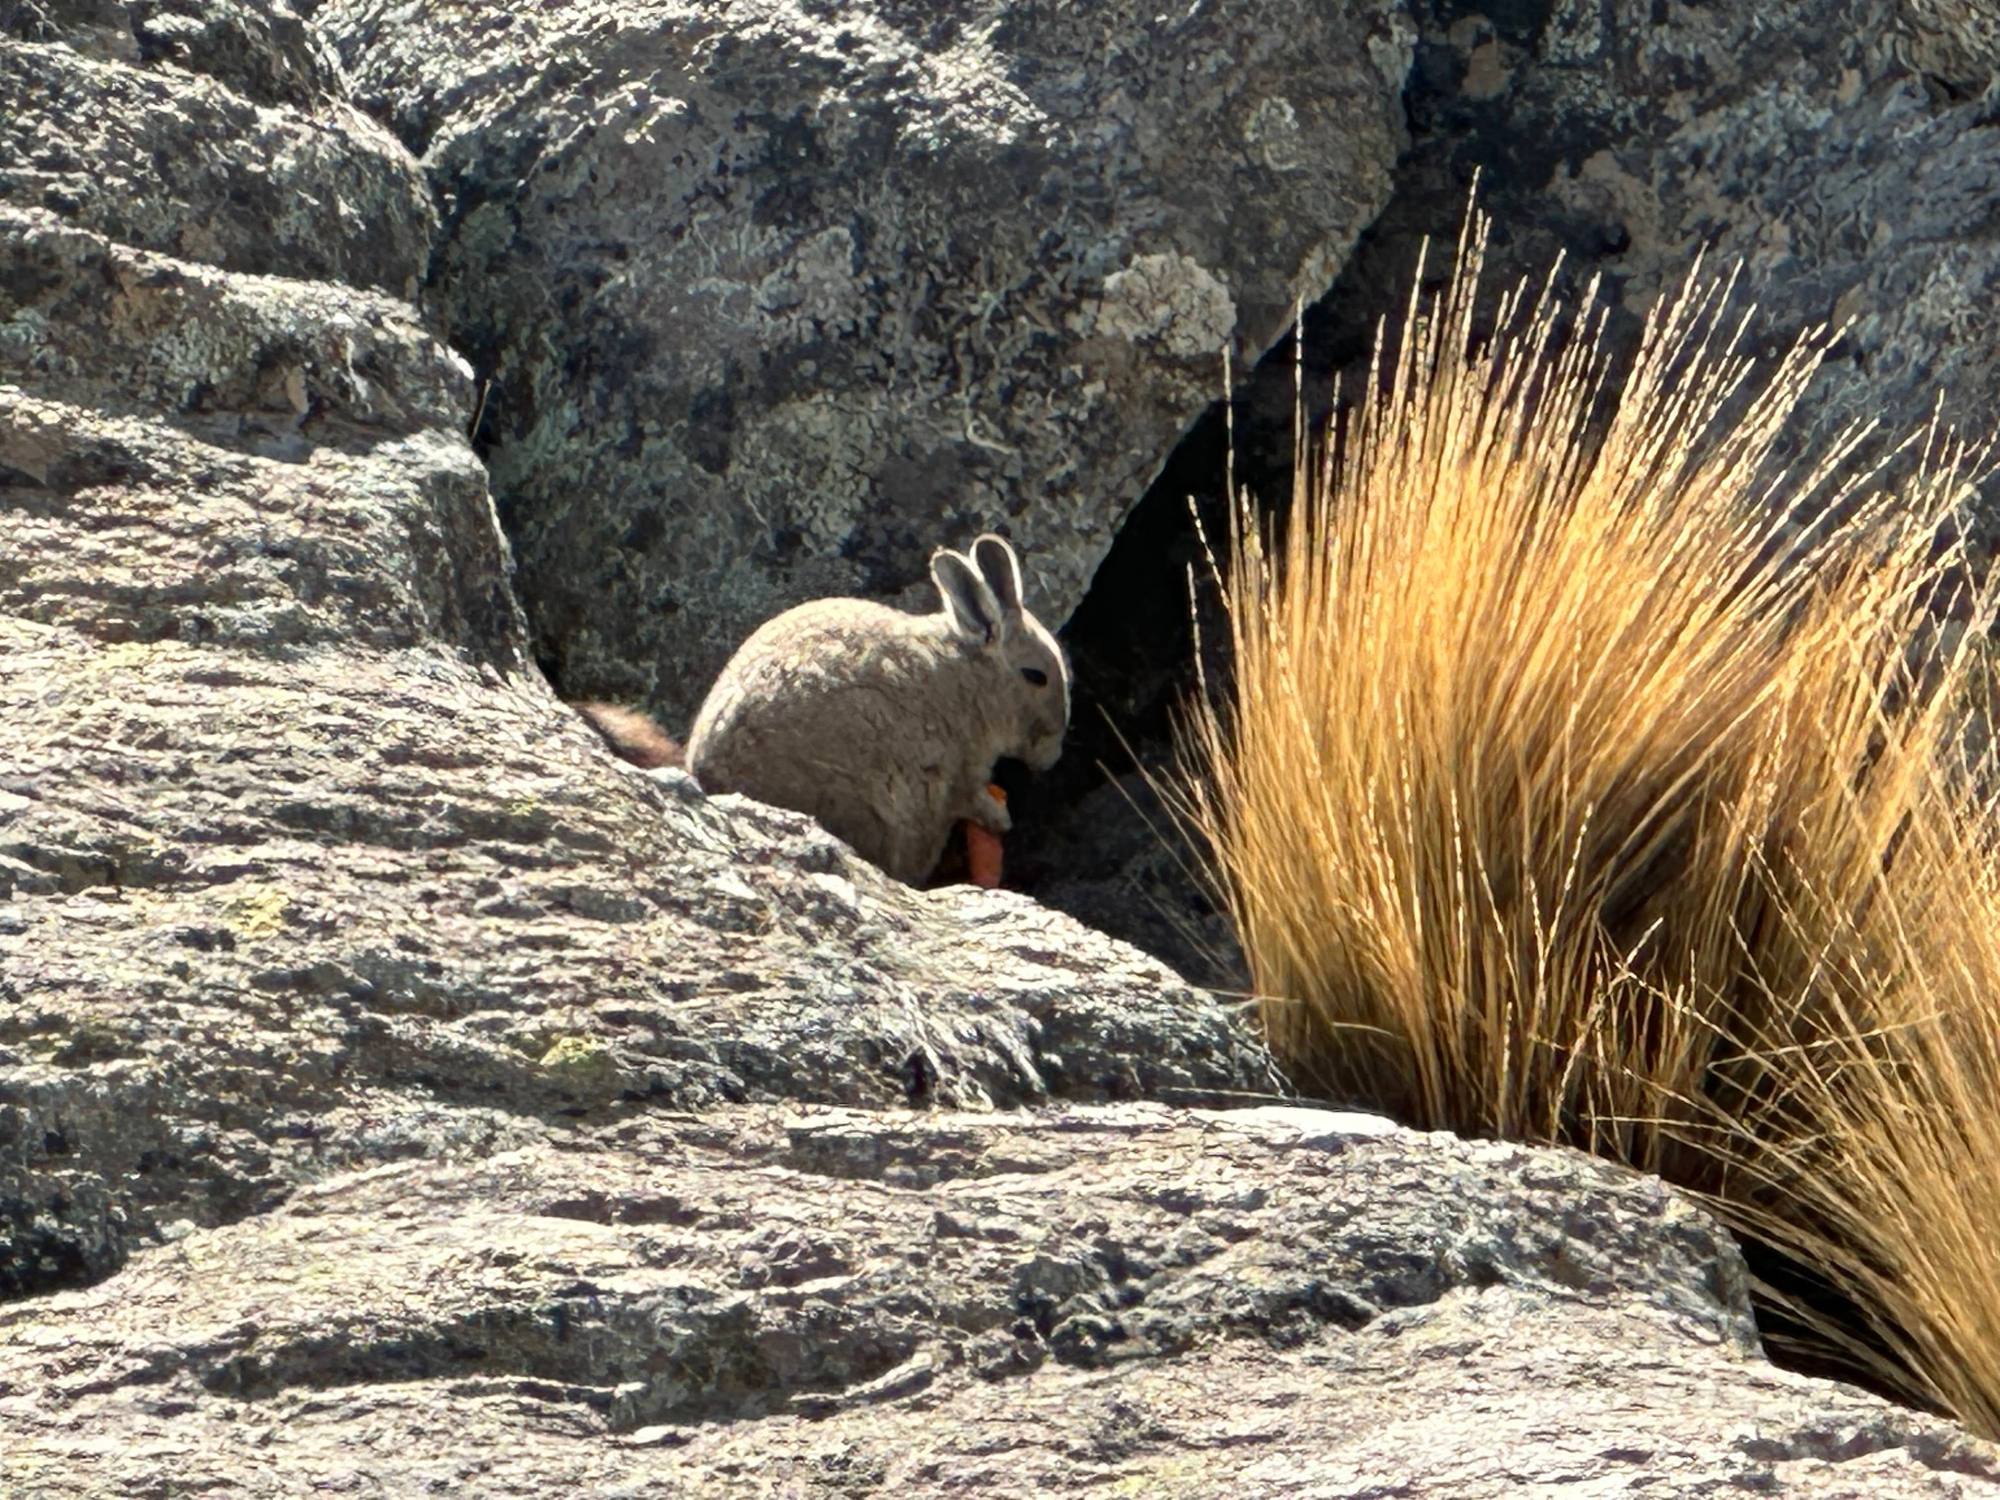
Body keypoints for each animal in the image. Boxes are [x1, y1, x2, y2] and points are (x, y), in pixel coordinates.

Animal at [574, 533, 1070, 886]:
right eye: (1037, 676)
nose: (1053, 758)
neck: (966, 678)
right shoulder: (960, 771)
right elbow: (976, 800)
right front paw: (1003, 820)